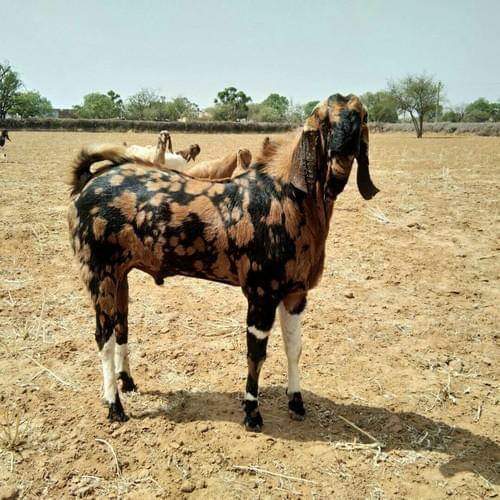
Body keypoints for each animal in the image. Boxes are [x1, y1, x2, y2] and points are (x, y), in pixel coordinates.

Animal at [67, 93, 378, 430]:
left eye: (361, 118)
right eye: (324, 121)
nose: (340, 159)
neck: (285, 196)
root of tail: (88, 181)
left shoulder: (296, 294)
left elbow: (294, 348)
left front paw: (296, 401)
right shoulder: (261, 293)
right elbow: (256, 354)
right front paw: (252, 412)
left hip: (119, 276)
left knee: (121, 325)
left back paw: (126, 382)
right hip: (98, 274)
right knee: (103, 337)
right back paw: (114, 406)